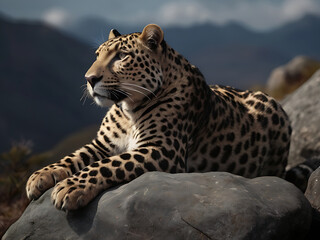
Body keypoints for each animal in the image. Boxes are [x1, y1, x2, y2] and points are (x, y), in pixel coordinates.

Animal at [26, 23, 292, 209]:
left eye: (121, 56)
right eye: (97, 55)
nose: (89, 79)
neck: (128, 110)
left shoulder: (161, 149)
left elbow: (106, 165)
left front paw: (70, 187)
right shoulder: (102, 144)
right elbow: (74, 156)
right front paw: (40, 176)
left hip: (276, 114)